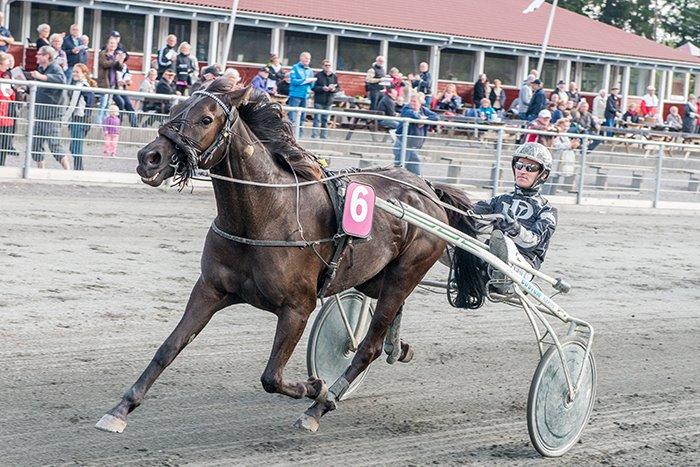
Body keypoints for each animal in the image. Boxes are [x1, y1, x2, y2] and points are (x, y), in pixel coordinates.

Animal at [94, 79, 486, 436]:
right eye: (174, 108)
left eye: (205, 119)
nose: (150, 158)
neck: (266, 214)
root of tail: (427, 190)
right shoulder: (209, 289)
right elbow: (169, 347)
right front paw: (120, 409)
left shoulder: (298, 307)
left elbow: (272, 376)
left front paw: (317, 387)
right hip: (375, 277)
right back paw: (397, 347)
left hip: (404, 275)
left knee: (367, 347)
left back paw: (320, 407)